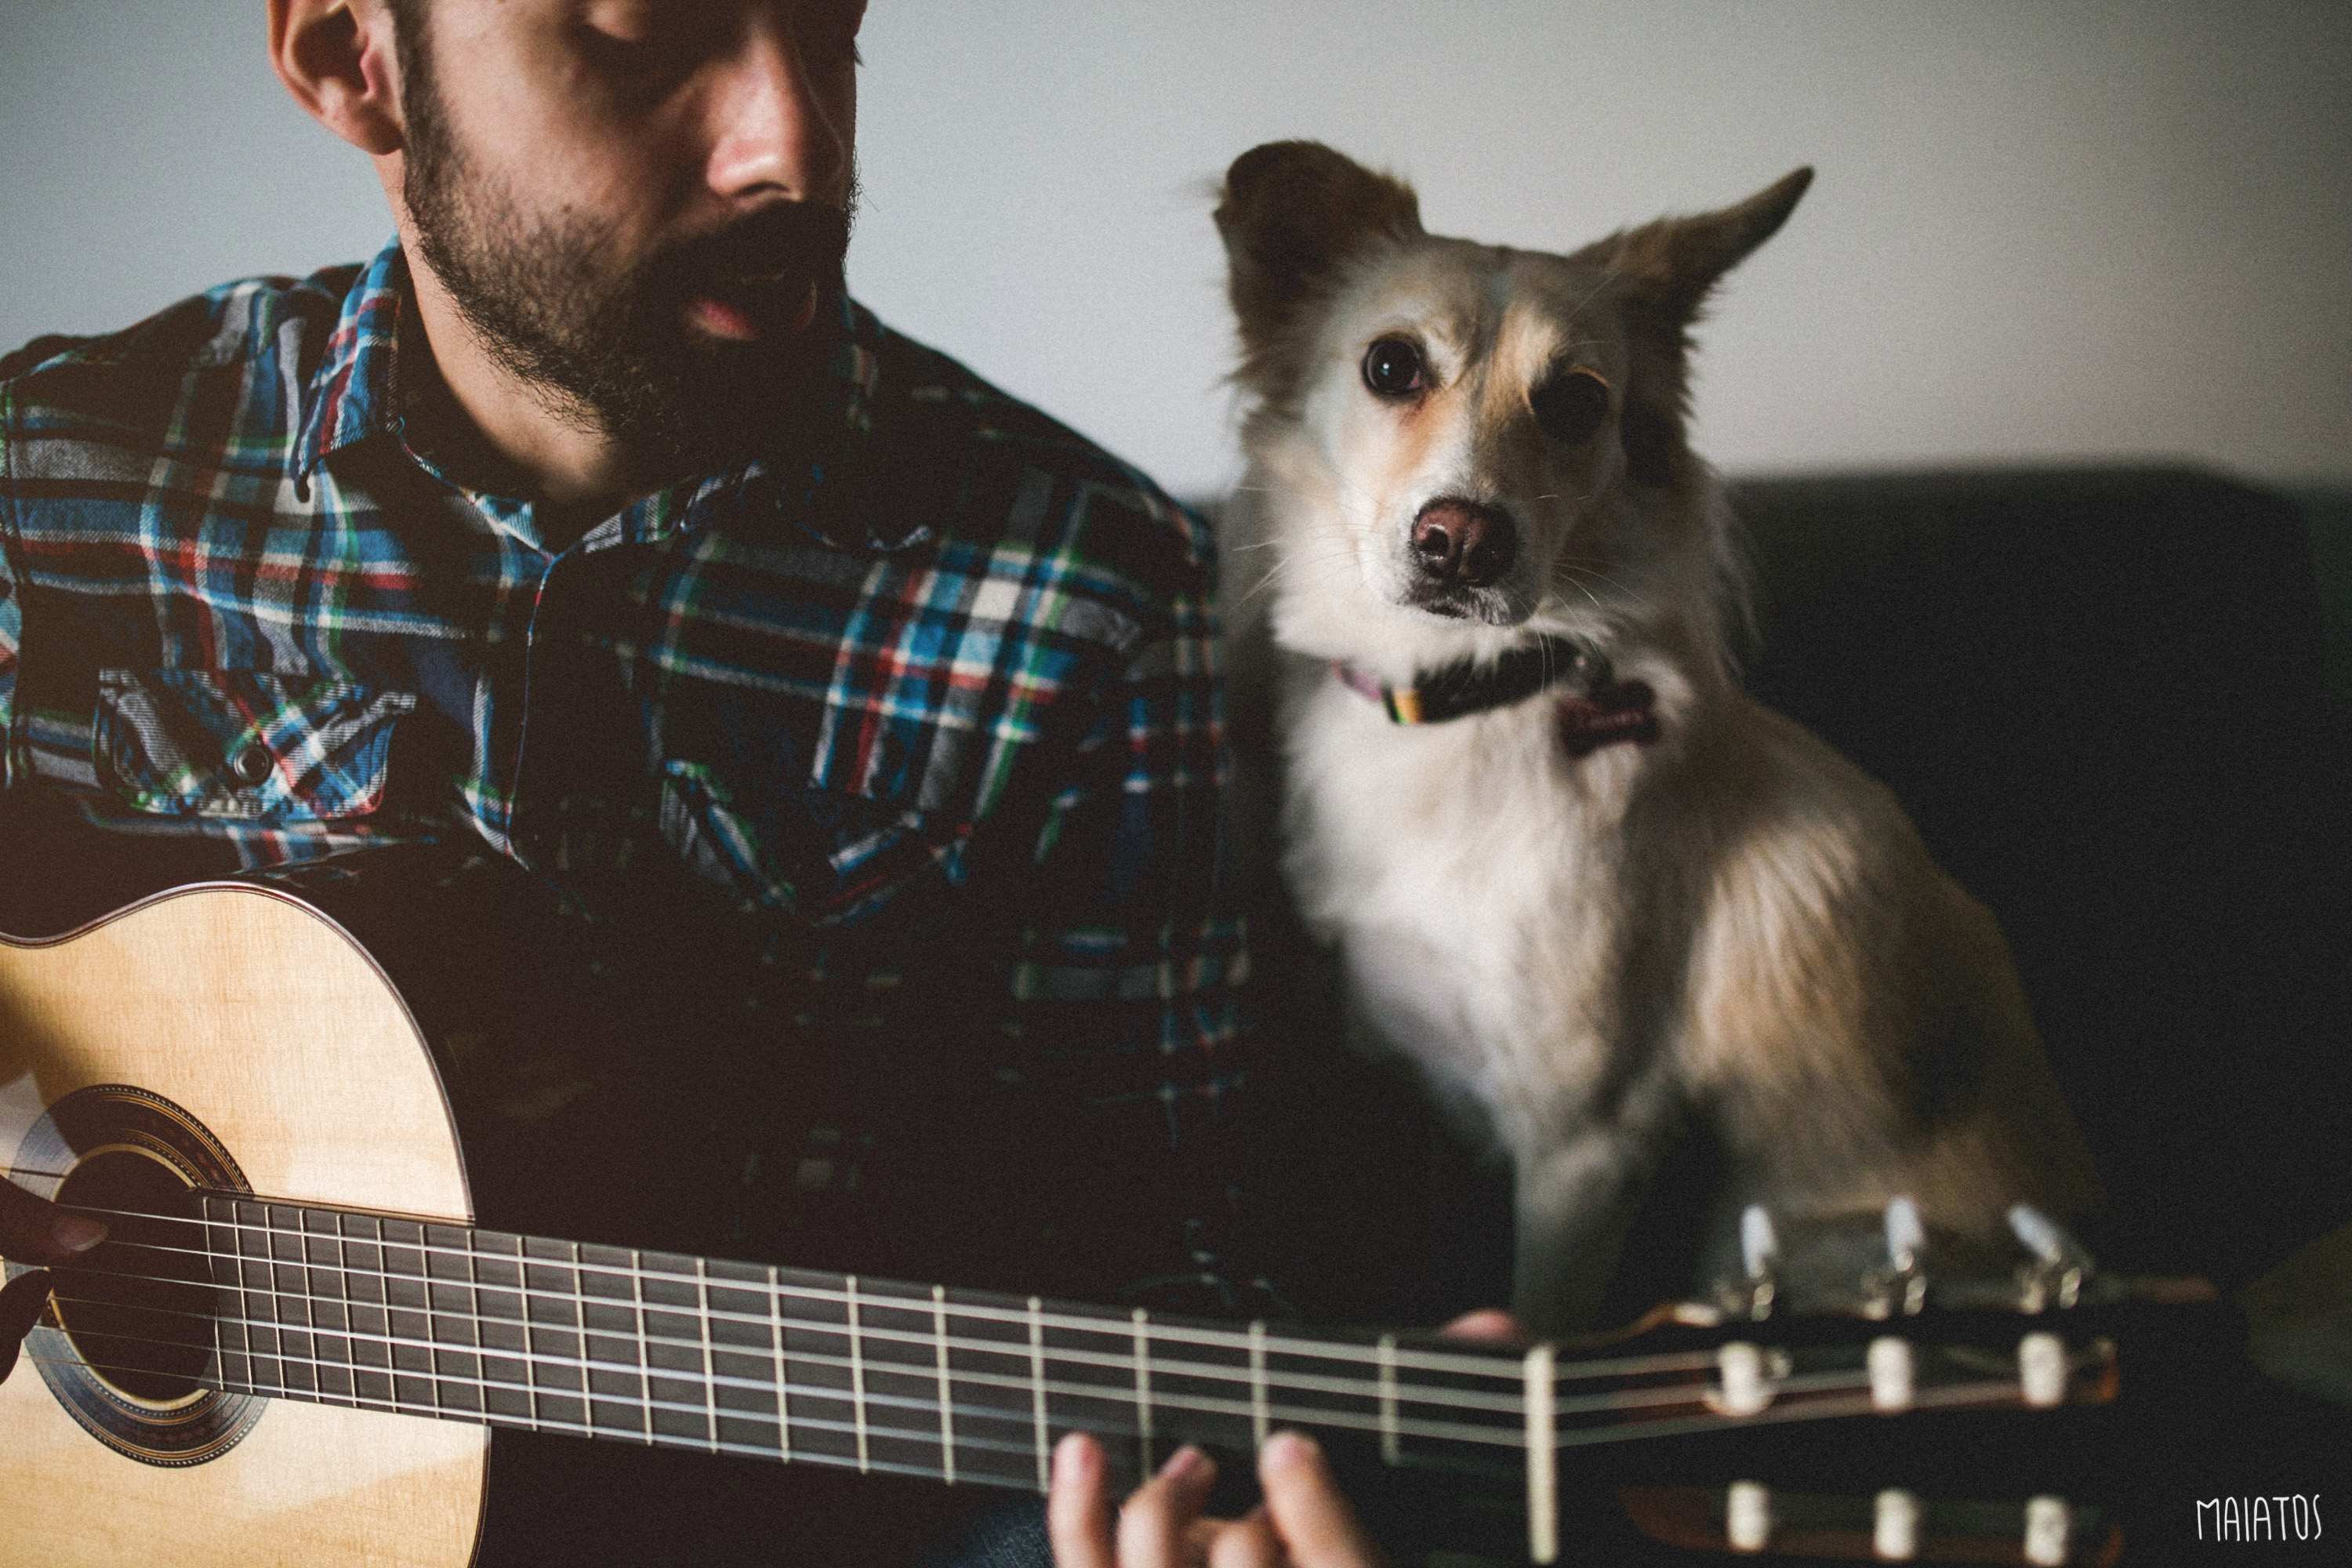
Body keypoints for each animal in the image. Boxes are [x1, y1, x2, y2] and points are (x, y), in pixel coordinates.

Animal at [1214, 140, 2098, 1335]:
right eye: (1391, 367)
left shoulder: (1587, 1145)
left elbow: (1540, 1316)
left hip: (1794, 1249)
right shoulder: (1423, 1074)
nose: (1463, 541)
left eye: (1578, 402)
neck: (1465, 701)